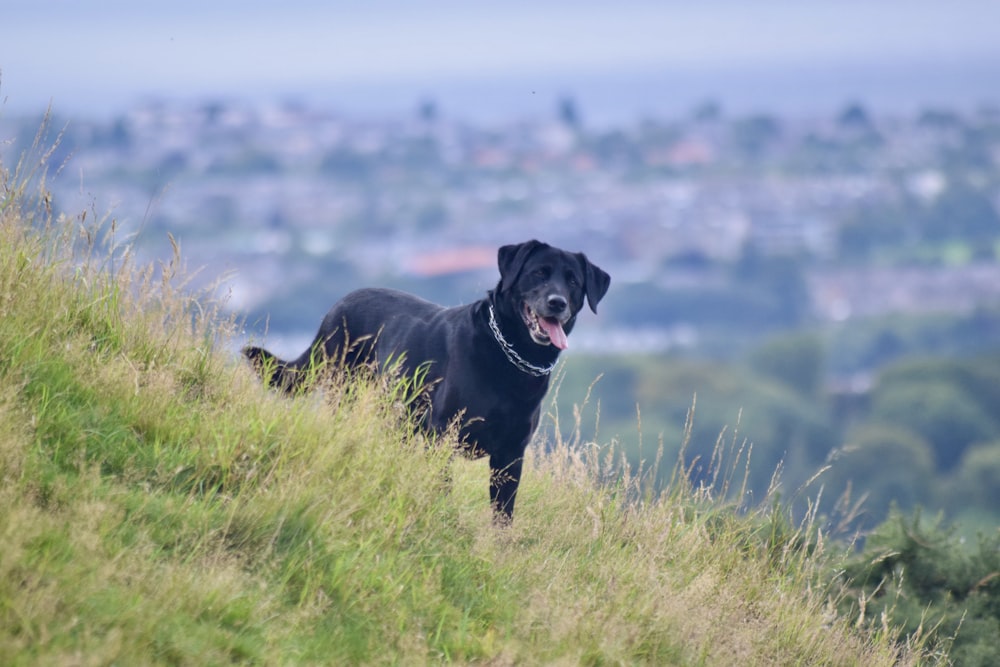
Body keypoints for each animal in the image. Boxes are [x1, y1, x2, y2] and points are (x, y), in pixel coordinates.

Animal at [246, 240, 612, 520]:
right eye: (539, 273)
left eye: (574, 283)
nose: (557, 303)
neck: (510, 357)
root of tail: (336, 306)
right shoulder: (442, 439)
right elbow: (443, 492)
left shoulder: (510, 456)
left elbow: (502, 517)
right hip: (348, 397)